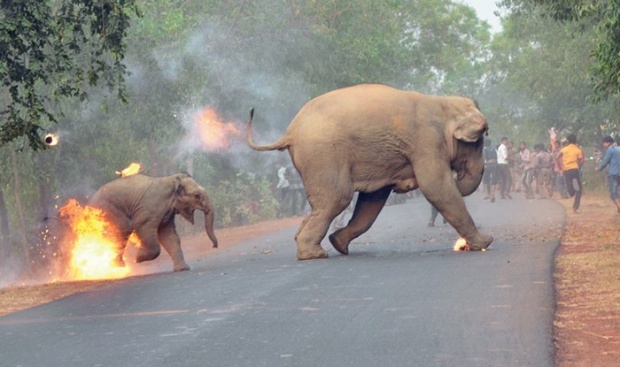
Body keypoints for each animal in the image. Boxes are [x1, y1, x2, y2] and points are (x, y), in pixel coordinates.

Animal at [88, 173, 218, 274]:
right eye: (197, 196)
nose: (214, 246)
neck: (172, 179)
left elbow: (169, 236)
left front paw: (183, 269)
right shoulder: (149, 209)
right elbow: (142, 227)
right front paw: (138, 258)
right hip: (110, 211)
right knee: (121, 232)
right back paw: (117, 266)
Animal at [247, 84, 494, 262]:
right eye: (479, 141)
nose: (459, 176)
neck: (443, 102)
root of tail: (290, 132)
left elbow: (373, 200)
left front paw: (338, 242)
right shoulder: (426, 142)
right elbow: (436, 187)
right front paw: (485, 243)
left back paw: (313, 243)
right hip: (323, 154)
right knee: (338, 198)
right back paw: (313, 255)